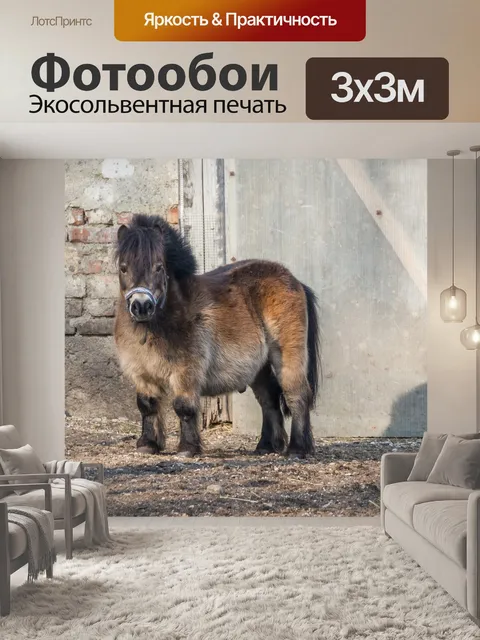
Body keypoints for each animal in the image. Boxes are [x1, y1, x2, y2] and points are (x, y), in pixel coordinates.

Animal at [114, 214, 321, 458]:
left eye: (159, 267)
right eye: (123, 268)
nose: (142, 306)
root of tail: (294, 280)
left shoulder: (186, 371)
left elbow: (184, 407)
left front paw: (187, 448)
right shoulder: (142, 373)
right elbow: (147, 406)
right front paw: (148, 444)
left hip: (288, 355)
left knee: (296, 394)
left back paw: (297, 449)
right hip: (258, 368)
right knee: (268, 400)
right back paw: (265, 446)